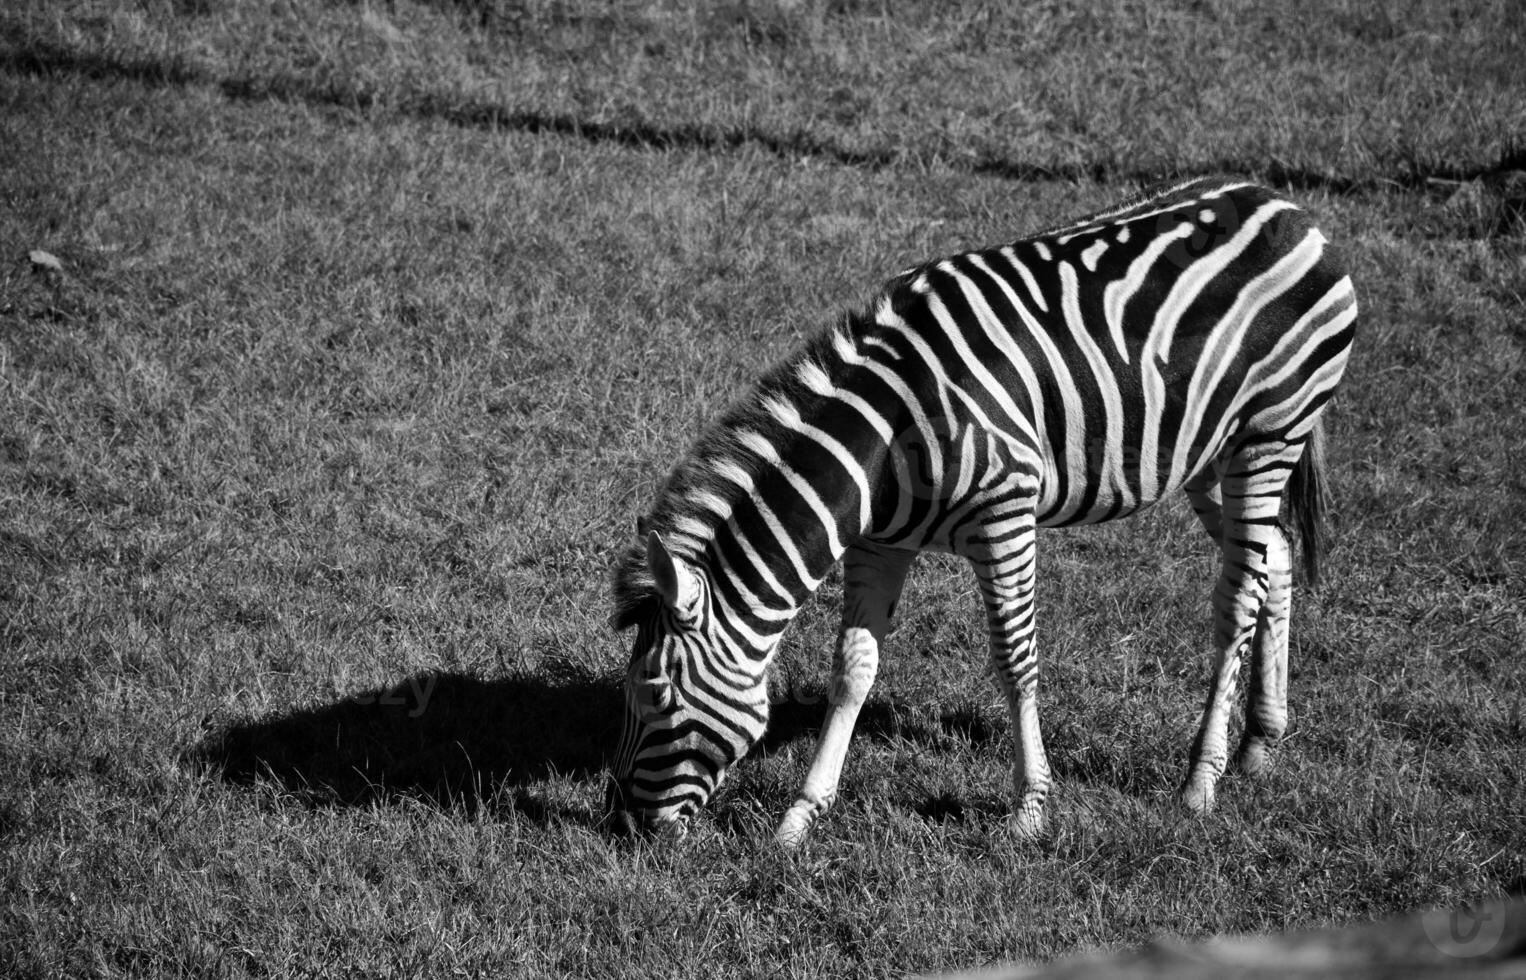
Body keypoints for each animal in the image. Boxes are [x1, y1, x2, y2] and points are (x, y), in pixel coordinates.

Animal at [607, 174, 1361, 842]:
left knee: (1236, 596)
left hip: (1271, 431)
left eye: (656, 695)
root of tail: (1288, 207)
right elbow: (853, 667)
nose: (622, 827)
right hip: (1209, 454)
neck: (886, 439)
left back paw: (1201, 780)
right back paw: (1260, 745)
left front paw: (1030, 810)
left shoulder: (1006, 518)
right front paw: (801, 817)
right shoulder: (880, 542)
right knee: (1274, 561)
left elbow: (1015, 659)